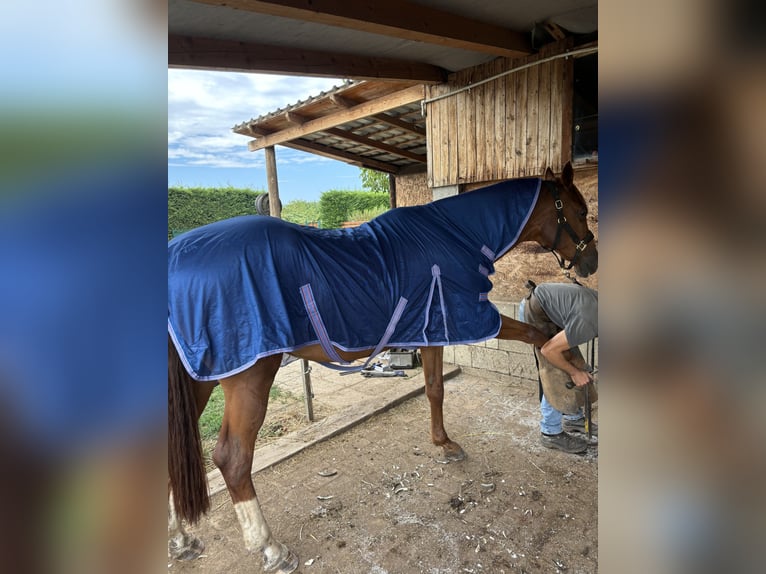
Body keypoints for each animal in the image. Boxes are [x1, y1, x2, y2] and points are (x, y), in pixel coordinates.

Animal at [168, 161, 600, 572]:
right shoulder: (470, 318)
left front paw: (444, 444)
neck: (453, 234)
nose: (591, 262)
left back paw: (181, 539)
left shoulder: (430, 334)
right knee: (233, 458)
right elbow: (536, 335)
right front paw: (570, 376)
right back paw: (270, 549)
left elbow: (434, 388)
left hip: (198, 380)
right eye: (581, 210)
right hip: (250, 376)